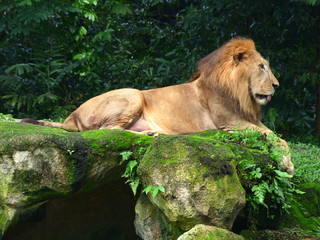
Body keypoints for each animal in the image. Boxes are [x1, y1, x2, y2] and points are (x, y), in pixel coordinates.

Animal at [21, 37, 292, 172]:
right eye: (262, 66)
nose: (277, 85)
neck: (240, 94)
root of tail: (72, 116)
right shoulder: (229, 122)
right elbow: (276, 138)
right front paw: (287, 165)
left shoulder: (247, 119)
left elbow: (277, 136)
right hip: (132, 94)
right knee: (107, 131)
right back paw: (151, 134)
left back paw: (152, 133)